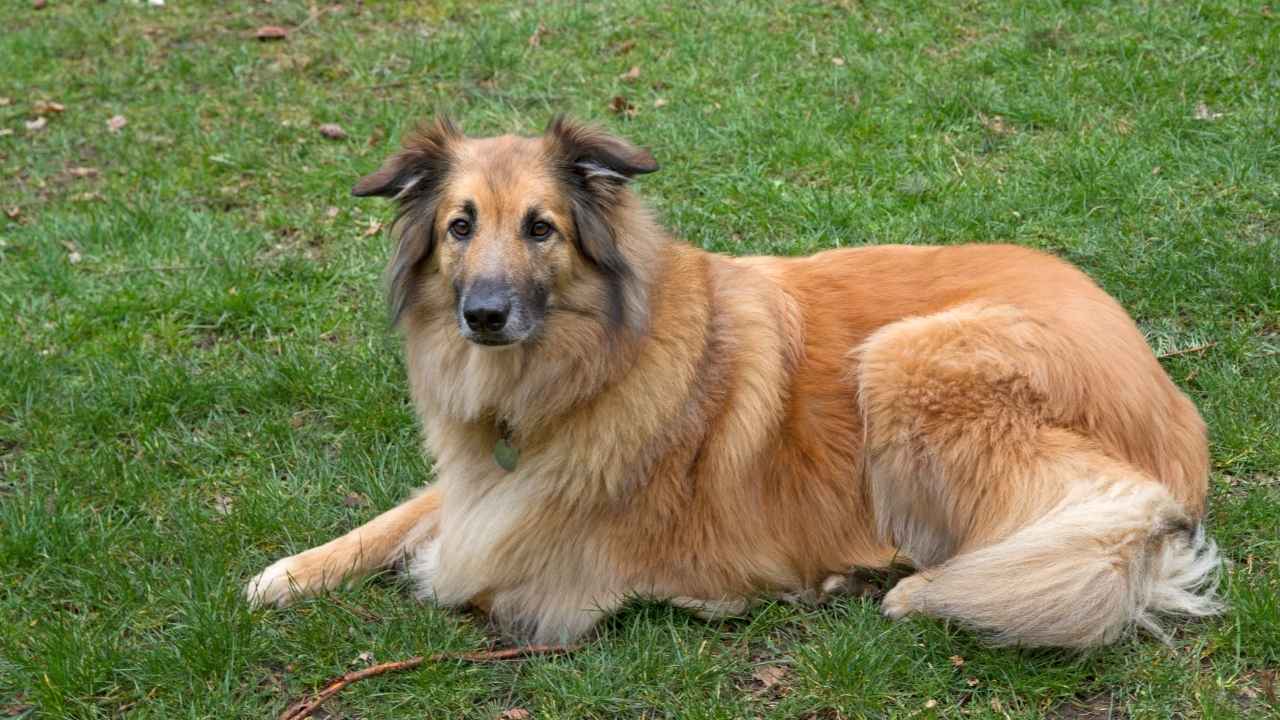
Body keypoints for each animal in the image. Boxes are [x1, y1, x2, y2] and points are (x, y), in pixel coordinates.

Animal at [247, 116, 1218, 645]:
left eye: (540, 228)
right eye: (459, 226)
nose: (482, 315)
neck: (584, 367)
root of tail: (1168, 399)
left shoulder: (545, 557)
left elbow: (470, 568)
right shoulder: (480, 481)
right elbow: (402, 516)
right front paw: (290, 572)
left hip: (911, 359)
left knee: (1076, 526)